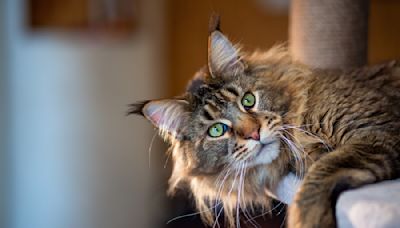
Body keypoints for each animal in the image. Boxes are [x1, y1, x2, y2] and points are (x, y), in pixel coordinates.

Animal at [129, 15, 400, 227]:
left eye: (248, 101)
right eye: (217, 130)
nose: (254, 134)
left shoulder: (375, 133)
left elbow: (316, 179)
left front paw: (307, 220)